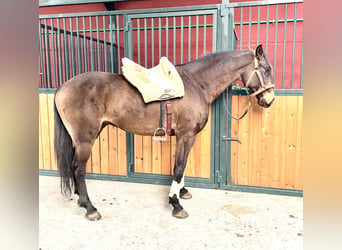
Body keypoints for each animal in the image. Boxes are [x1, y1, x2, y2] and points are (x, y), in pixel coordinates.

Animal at [53, 44, 276, 220]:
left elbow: (182, 167)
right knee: (79, 169)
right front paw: (176, 204)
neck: (197, 83)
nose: (270, 100)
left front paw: (182, 192)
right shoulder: (186, 135)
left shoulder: (184, 137)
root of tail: (62, 87)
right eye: (266, 69)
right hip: (85, 139)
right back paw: (90, 208)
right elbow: (179, 167)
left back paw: (80, 198)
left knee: (74, 167)